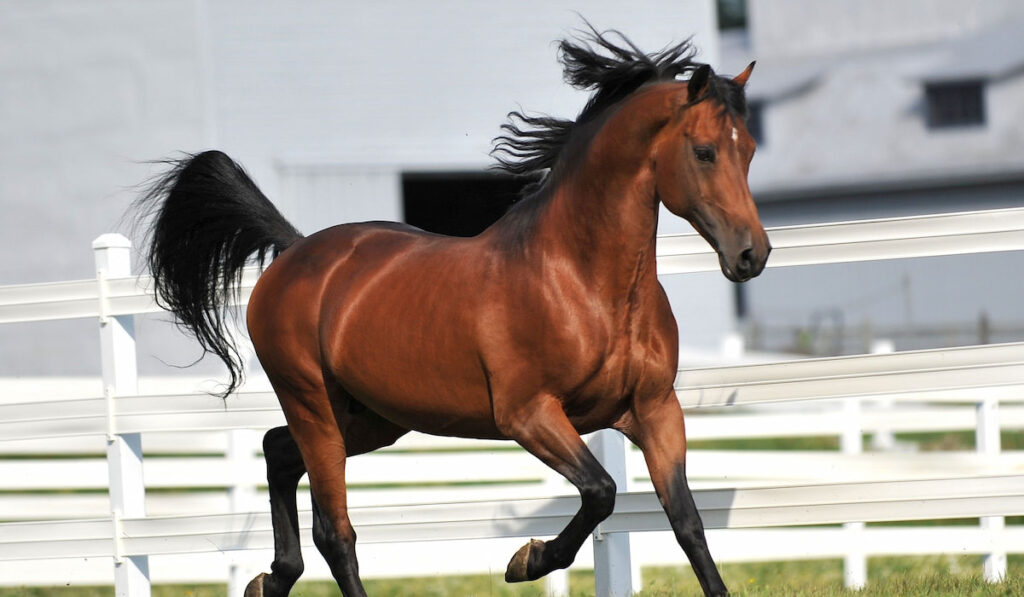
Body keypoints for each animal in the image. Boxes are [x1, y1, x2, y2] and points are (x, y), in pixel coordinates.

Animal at [136, 28, 765, 597]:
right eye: (704, 151)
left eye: (750, 150)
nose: (751, 255)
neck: (581, 283)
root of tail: (295, 251)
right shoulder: (529, 414)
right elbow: (602, 491)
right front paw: (527, 560)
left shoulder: (655, 411)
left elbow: (687, 524)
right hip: (312, 404)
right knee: (335, 532)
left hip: (372, 418)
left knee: (276, 451)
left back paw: (269, 579)